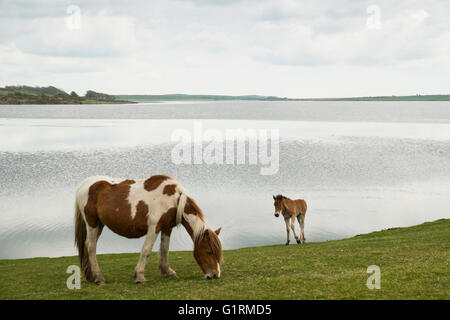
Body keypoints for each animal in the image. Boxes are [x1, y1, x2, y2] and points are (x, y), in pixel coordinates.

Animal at [74, 174, 224, 284]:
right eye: (209, 251)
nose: (215, 275)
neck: (174, 200)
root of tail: (84, 185)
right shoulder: (154, 227)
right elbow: (146, 250)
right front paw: (140, 276)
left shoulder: (167, 228)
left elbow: (164, 249)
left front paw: (168, 272)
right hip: (92, 223)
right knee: (91, 247)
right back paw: (98, 278)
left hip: (99, 225)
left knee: (87, 246)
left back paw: (91, 276)